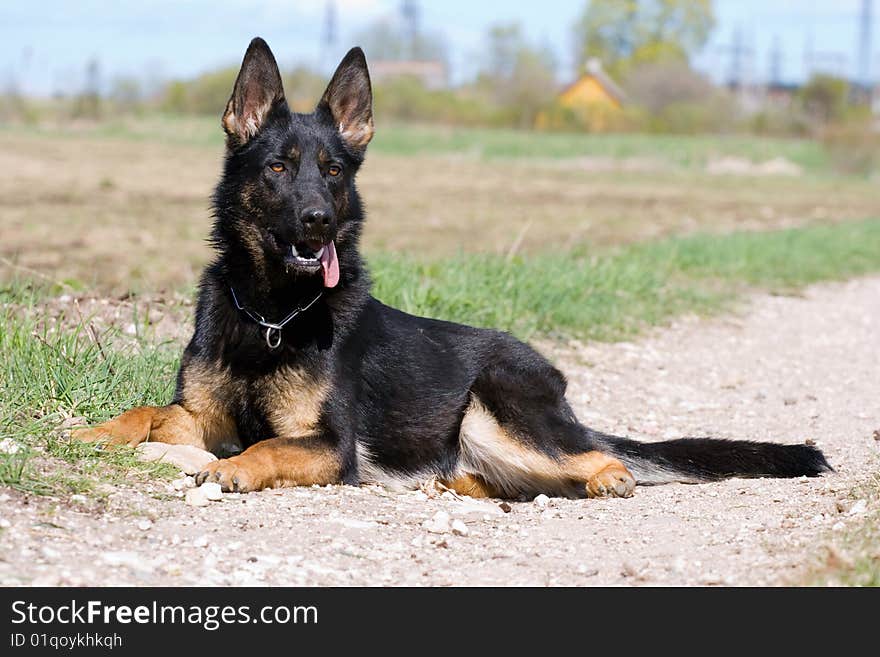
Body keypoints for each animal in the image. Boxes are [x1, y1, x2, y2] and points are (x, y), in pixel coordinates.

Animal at [72, 38, 828, 498]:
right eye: (279, 168)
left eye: (334, 171)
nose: (318, 223)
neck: (272, 311)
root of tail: (559, 390)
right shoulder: (203, 416)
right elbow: (149, 411)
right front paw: (94, 431)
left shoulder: (329, 446)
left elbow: (267, 450)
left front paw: (238, 471)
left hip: (494, 411)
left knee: (593, 460)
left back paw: (606, 476)